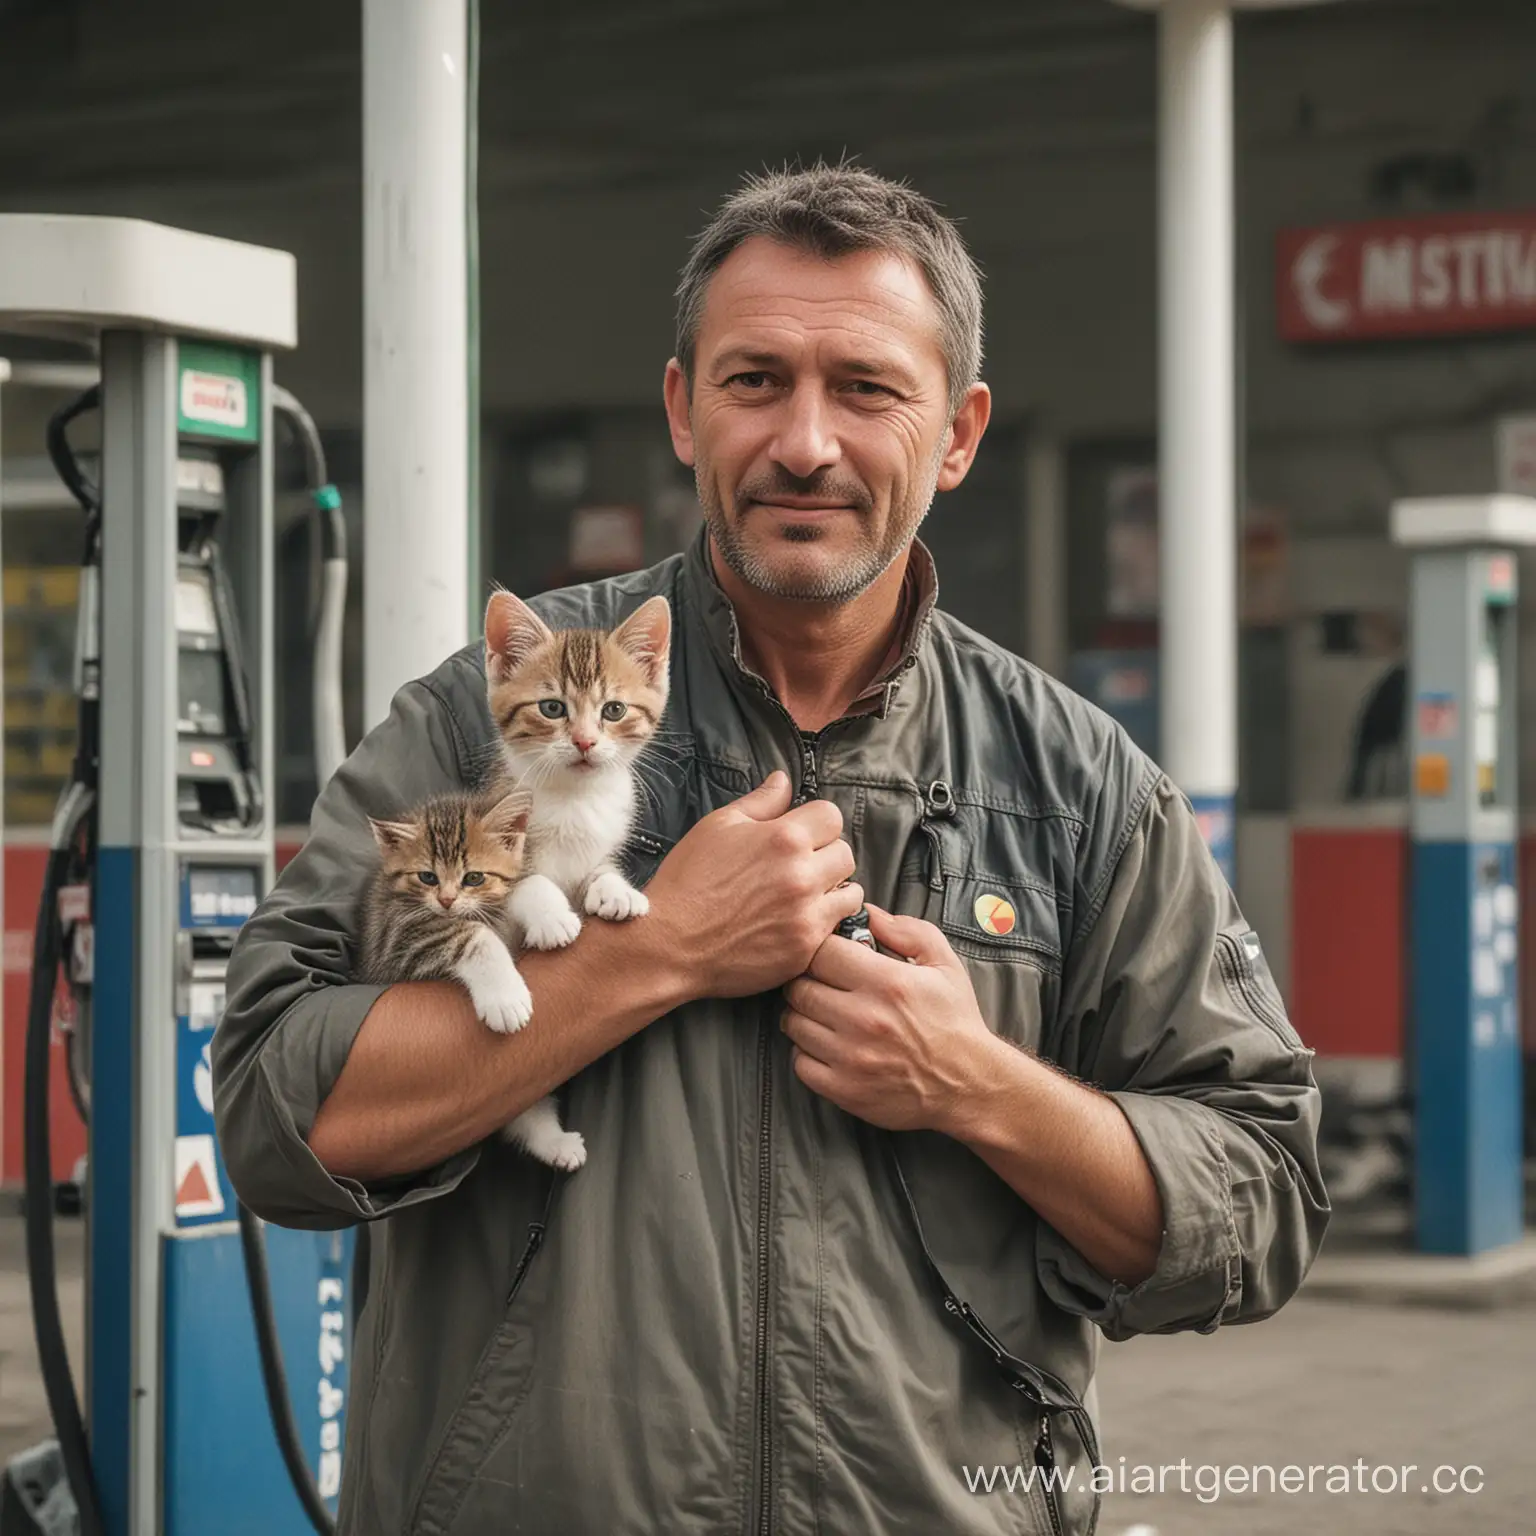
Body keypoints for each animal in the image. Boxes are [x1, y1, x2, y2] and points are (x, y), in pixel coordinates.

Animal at [479, 592, 672, 1167]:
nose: (586, 742)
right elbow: (529, 883)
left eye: (613, 710)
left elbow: (598, 867)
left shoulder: (604, 835)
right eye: (552, 709)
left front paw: (616, 892)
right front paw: (553, 919)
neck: (573, 800)